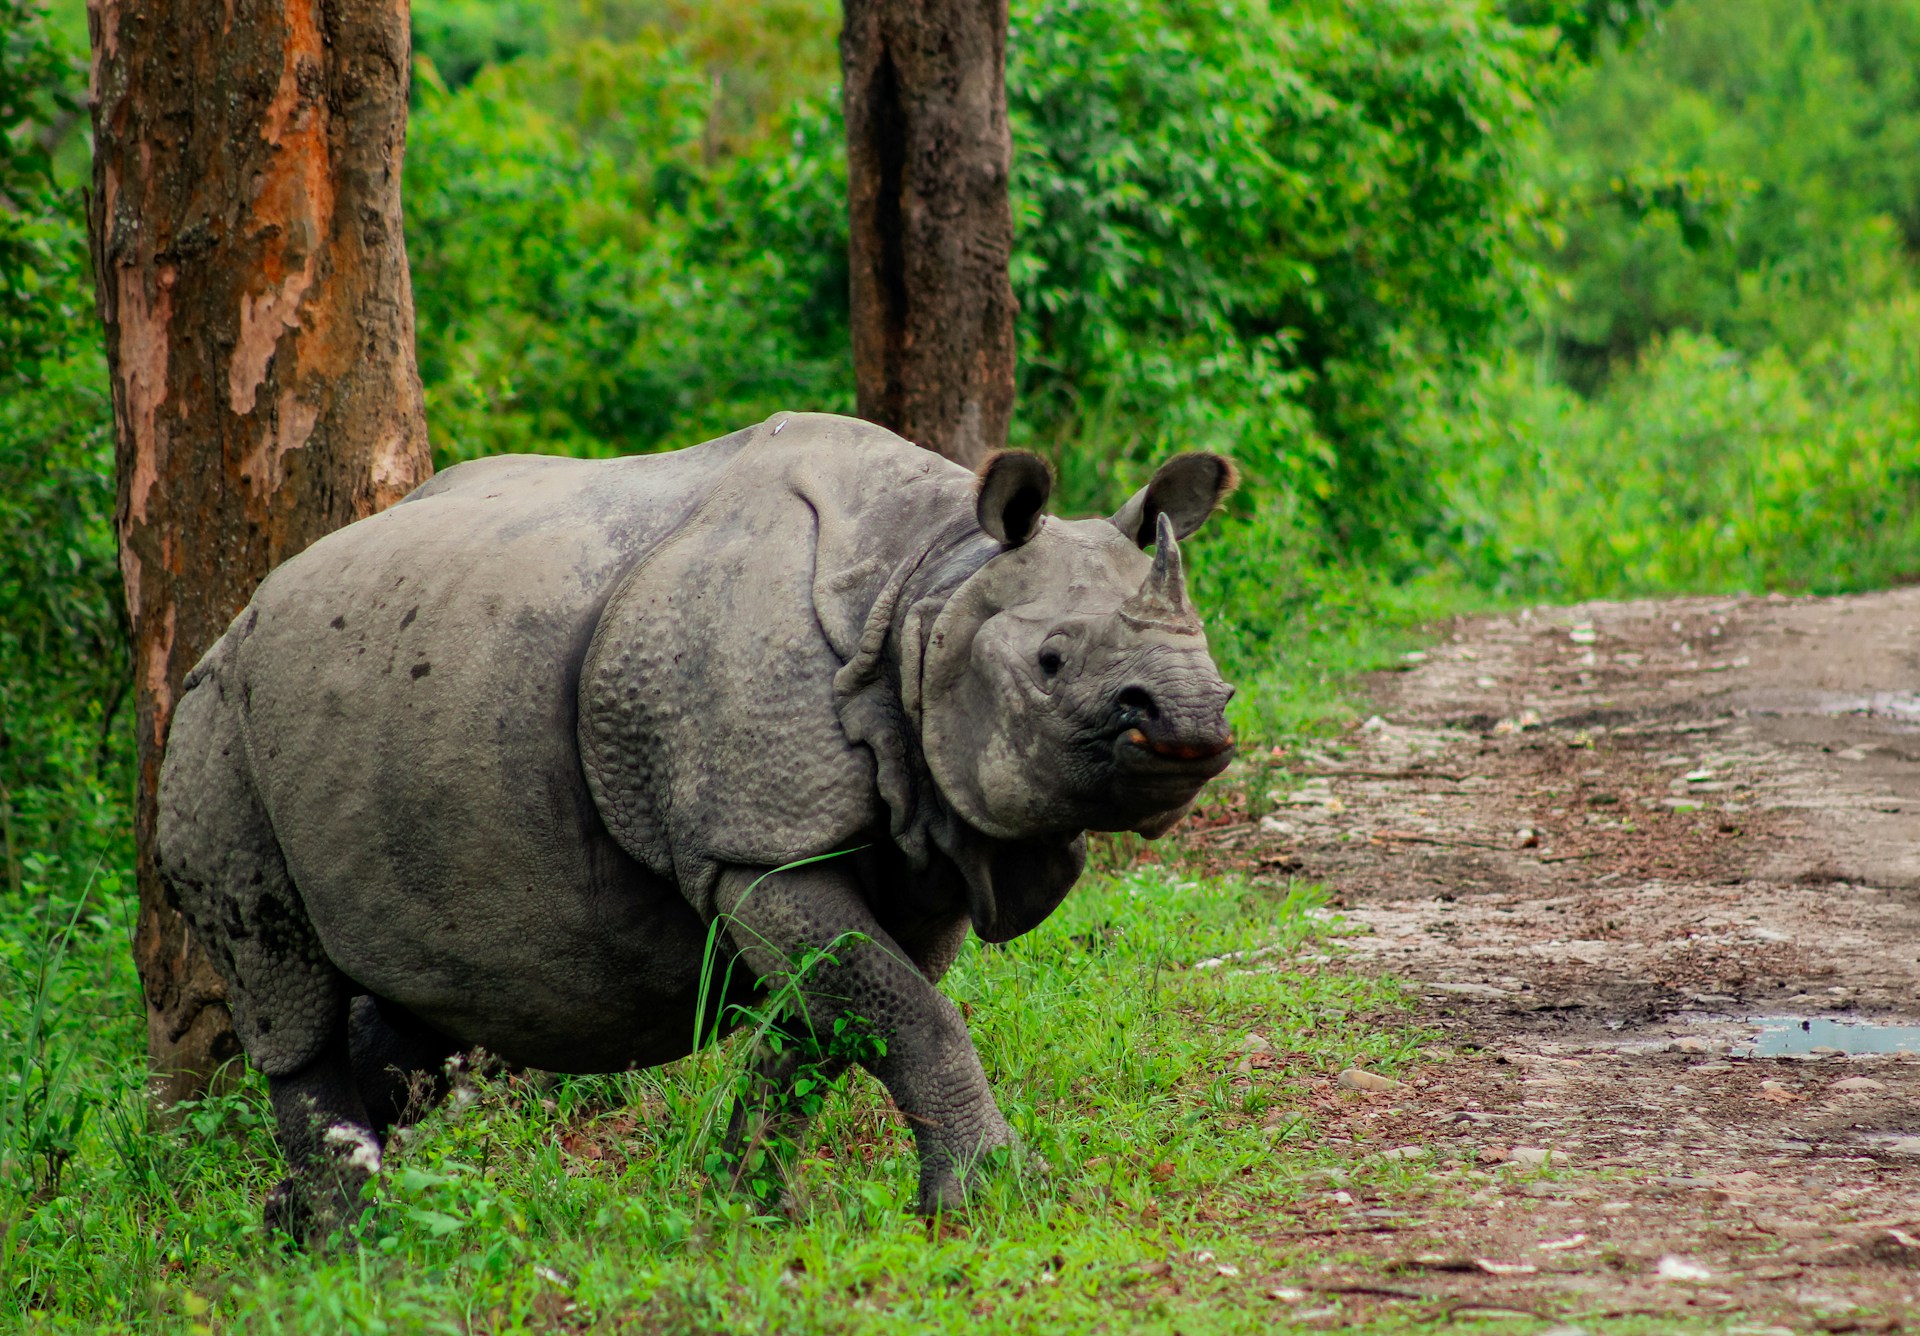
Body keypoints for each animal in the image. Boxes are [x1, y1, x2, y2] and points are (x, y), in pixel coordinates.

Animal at [157, 412, 1236, 1237]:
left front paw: (751, 1208)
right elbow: (904, 1013)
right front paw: (994, 1201)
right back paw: (357, 1242)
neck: (928, 588)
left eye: (1212, 653)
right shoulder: (753, 849)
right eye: (1052, 661)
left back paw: (295, 1227)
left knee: (407, 1008)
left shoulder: (917, 847)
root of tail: (234, 623)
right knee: (285, 985)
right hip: (215, 729)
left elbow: (833, 1023)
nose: (1192, 720)